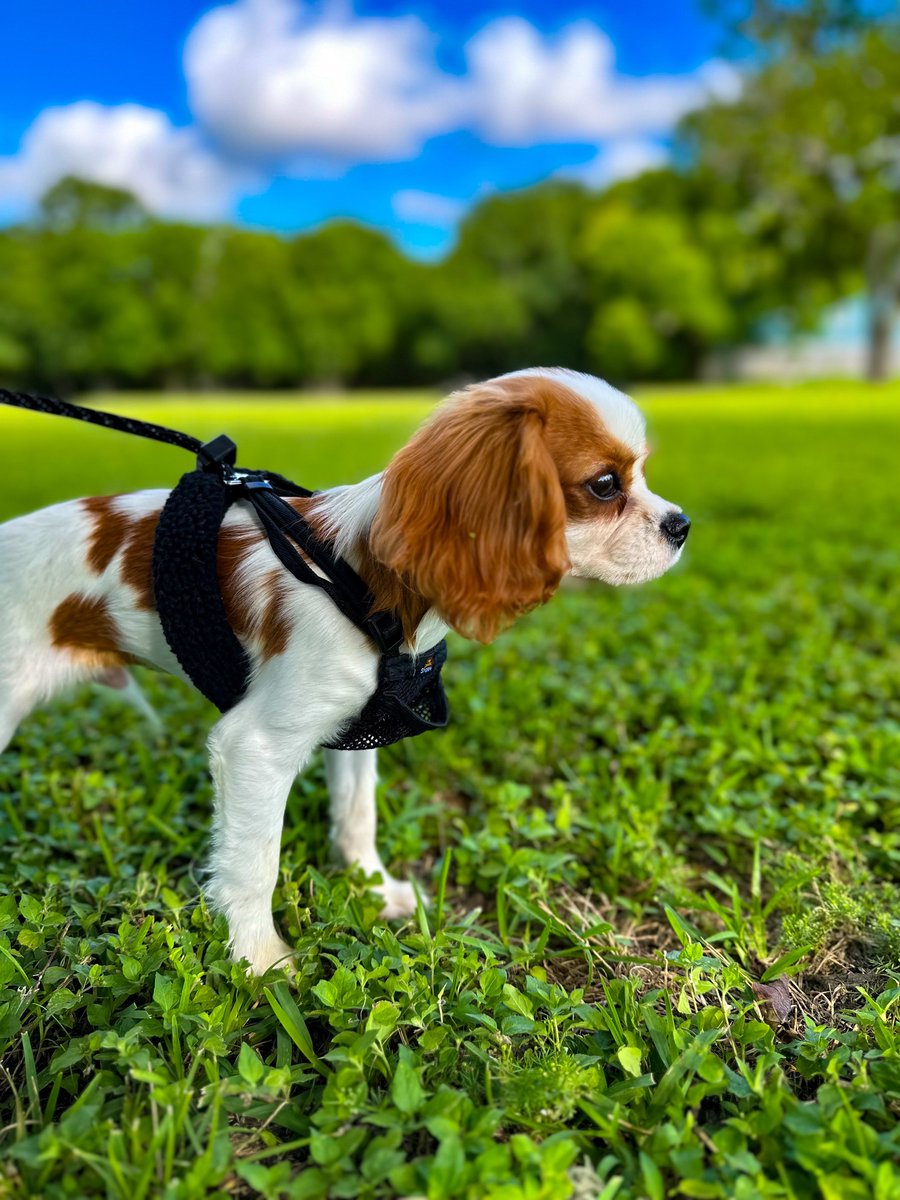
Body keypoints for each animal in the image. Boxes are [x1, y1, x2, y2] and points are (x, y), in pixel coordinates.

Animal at [0, 367, 691, 974]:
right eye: (604, 484)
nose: (682, 525)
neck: (362, 582)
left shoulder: (362, 721)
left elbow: (357, 813)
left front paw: (371, 888)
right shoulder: (254, 747)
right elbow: (254, 863)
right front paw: (260, 961)